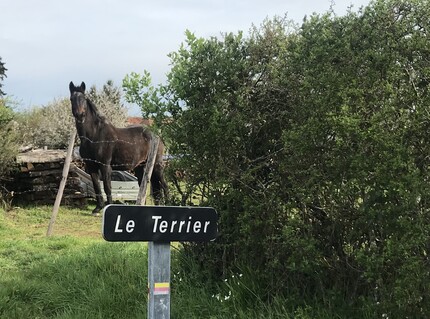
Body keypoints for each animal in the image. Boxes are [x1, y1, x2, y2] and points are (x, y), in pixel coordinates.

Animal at [69, 80, 168, 215]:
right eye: (71, 99)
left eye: (83, 98)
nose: (80, 115)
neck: (94, 136)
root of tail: (157, 136)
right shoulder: (91, 166)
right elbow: (97, 186)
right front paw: (97, 208)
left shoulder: (105, 166)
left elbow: (107, 187)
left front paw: (107, 206)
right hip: (141, 167)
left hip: (157, 165)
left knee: (164, 186)